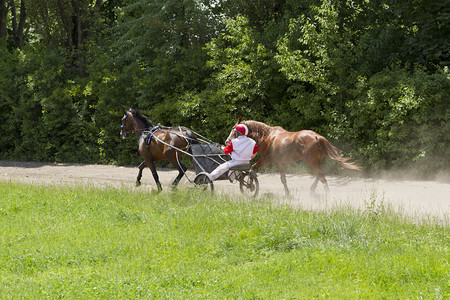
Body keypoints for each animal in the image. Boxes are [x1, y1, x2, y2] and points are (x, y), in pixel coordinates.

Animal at [225, 118, 362, 196]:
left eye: (233, 129)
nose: (227, 141)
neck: (267, 136)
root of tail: (317, 137)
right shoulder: (280, 163)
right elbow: (283, 179)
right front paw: (287, 193)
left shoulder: (265, 160)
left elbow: (252, 169)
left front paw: (249, 185)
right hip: (316, 162)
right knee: (319, 176)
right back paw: (313, 189)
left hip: (311, 162)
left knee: (322, 177)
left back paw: (327, 195)